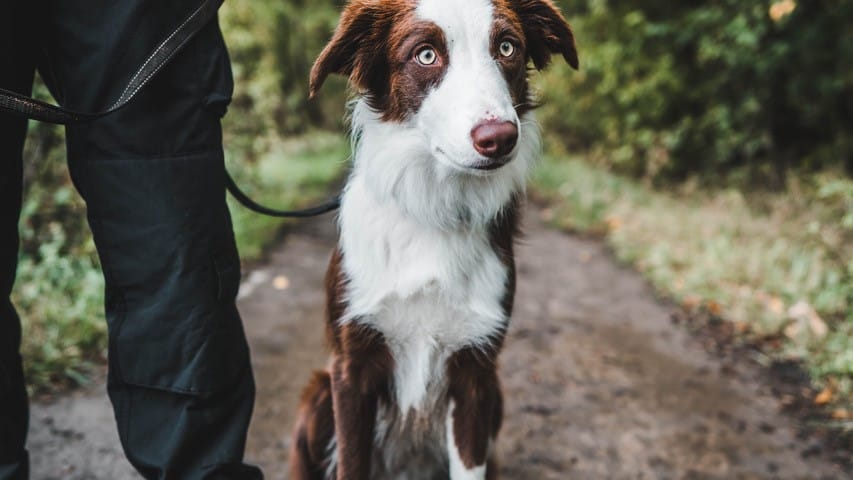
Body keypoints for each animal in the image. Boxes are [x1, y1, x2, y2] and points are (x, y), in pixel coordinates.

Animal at [290, 1, 576, 478]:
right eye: (426, 55)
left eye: (507, 47)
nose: (499, 139)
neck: (434, 209)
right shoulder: (351, 369)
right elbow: (351, 461)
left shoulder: (477, 371)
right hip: (317, 395)